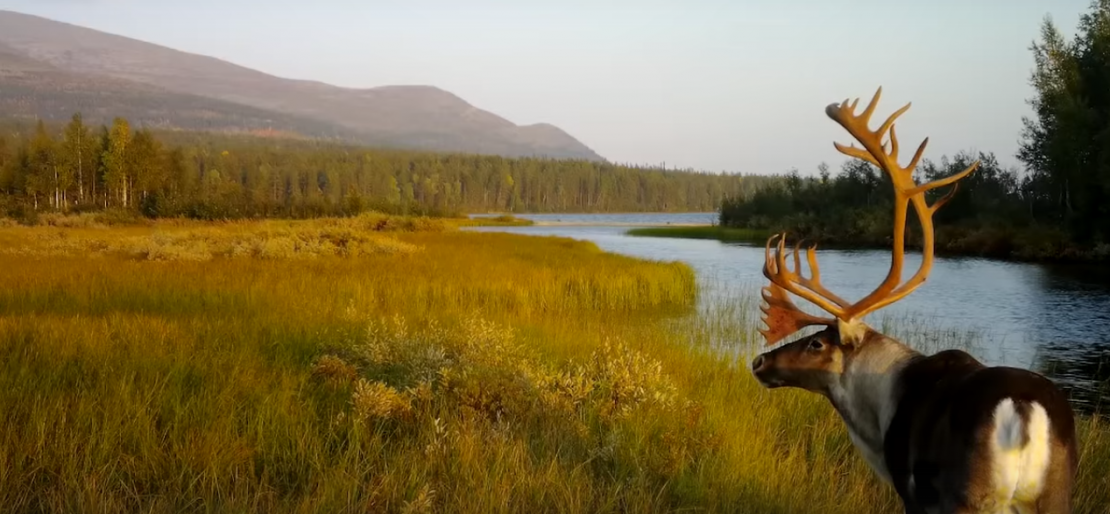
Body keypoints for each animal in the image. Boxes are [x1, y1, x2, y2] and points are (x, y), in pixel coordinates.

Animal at [749, 87, 1078, 514]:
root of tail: (1024, 410)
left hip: (968, 495)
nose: (758, 362)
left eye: (817, 343)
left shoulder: (912, 492)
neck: (876, 414)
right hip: (1055, 494)